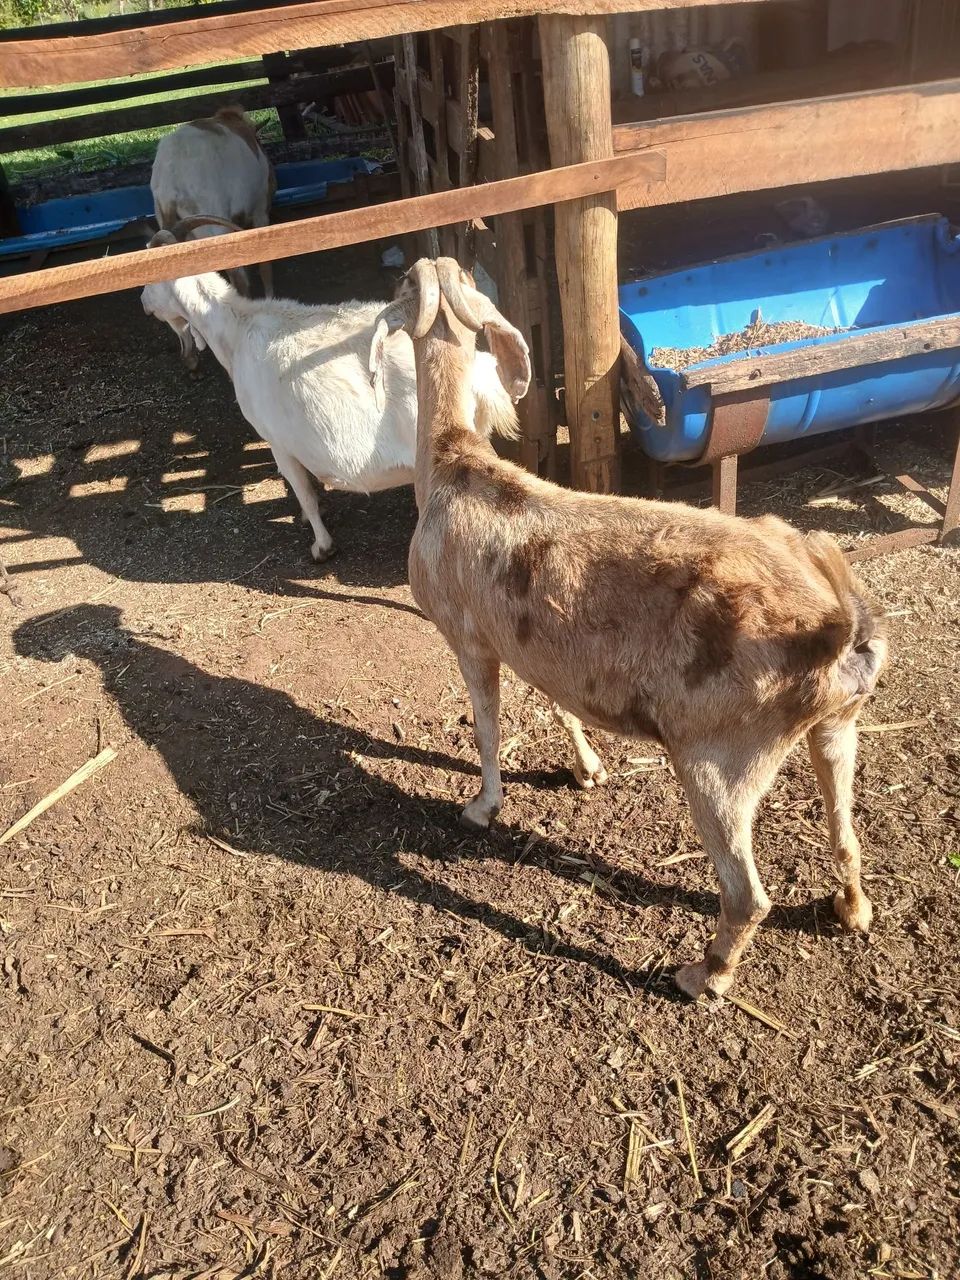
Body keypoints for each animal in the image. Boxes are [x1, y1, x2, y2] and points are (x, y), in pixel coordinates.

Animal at [140, 221, 520, 560]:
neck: (237, 330)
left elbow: (303, 490)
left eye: (150, 274)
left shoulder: (277, 441)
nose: (143, 302)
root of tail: (482, 374)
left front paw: (322, 546)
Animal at [369, 257, 888, 999]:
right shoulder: (535, 641)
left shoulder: (469, 638)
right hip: (837, 726)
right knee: (846, 831)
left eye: (410, 286)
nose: (417, 266)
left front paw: (482, 805)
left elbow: (488, 726)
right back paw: (851, 910)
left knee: (747, 893)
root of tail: (841, 625)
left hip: (720, 756)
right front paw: (587, 770)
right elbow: (557, 700)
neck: (453, 460)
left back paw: (703, 975)